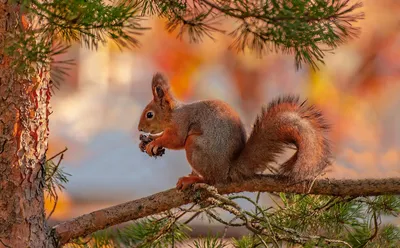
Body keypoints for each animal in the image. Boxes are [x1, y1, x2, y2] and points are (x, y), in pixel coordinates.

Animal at [138, 72, 332, 189]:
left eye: (149, 114)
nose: (139, 128)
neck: (173, 114)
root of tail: (228, 170)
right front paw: (150, 139)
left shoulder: (181, 123)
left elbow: (176, 140)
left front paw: (155, 142)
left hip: (195, 147)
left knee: (212, 180)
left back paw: (194, 179)